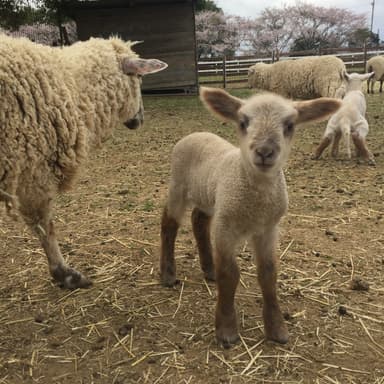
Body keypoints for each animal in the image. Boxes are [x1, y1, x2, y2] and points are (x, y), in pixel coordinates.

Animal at [0, 35, 168, 288]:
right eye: (139, 78)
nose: (140, 118)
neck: (71, 87)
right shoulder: (34, 173)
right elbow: (44, 226)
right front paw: (65, 274)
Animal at [159, 88, 340, 348]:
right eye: (243, 122)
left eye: (289, 125)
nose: (264, 151)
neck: (257, 201)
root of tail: (195, 133)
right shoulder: (226, 226)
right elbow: (229, 274)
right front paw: (226, 330)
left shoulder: (268, 229)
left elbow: (268, 274)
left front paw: (277, 329)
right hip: (178, 185)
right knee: (169, 224)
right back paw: (168, 273)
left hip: (211, 197)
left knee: (199, 220)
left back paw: (209, 269)